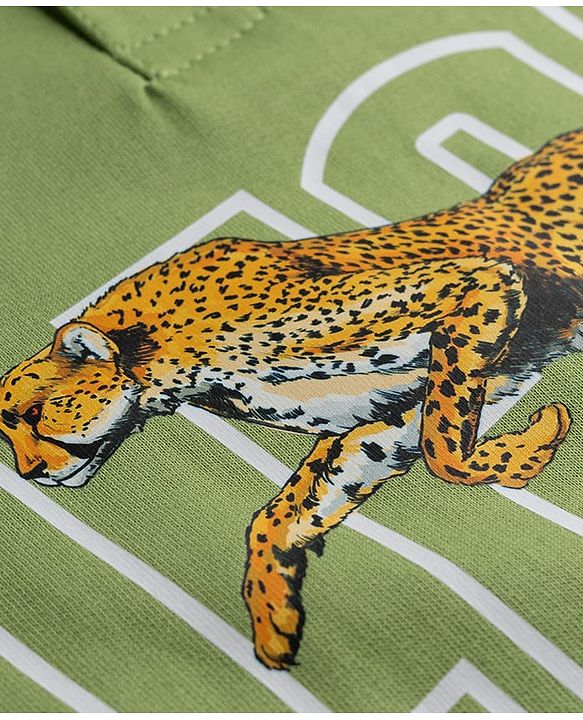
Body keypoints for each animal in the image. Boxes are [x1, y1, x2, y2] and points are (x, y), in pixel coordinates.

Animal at [1, 128, 582, 670]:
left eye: (34, 415)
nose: (30, 473)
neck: (154, 359)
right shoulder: (384, 415)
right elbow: (278, 517)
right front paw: (271, 618)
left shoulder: (475, 280)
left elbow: (443, 448)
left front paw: (537, 437)